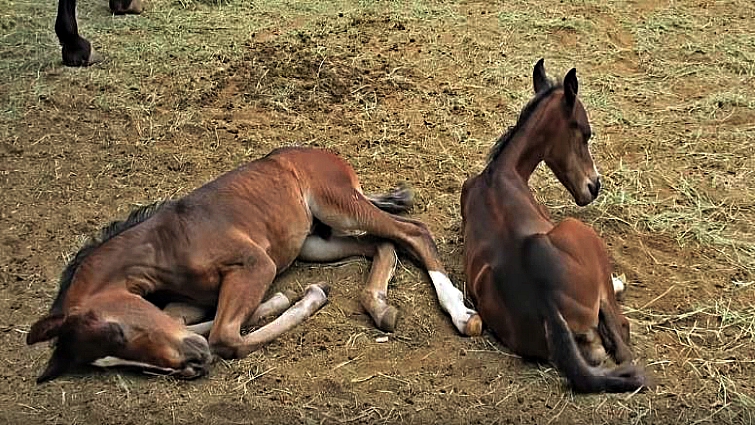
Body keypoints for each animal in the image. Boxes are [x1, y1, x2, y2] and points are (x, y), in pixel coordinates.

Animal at [27, 147, 482, 382]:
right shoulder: (189, 302)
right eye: (110, 361)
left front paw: (305, 297)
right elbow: (192, 321)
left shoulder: (255, 265)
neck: (164, 245)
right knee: (383, 245)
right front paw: (286, 298)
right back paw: (379, 305)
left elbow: (225, 337)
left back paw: (461, 315)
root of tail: (326, 155)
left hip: (337, 205)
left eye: (118, 333)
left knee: (412, 231)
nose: (192, 366)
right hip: (314, 242)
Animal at [460, 59, 649, 393]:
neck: (499, 173)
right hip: (579, 231)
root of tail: (548, 306)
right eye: (585, 133)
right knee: (622, 334)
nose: (594, 186)